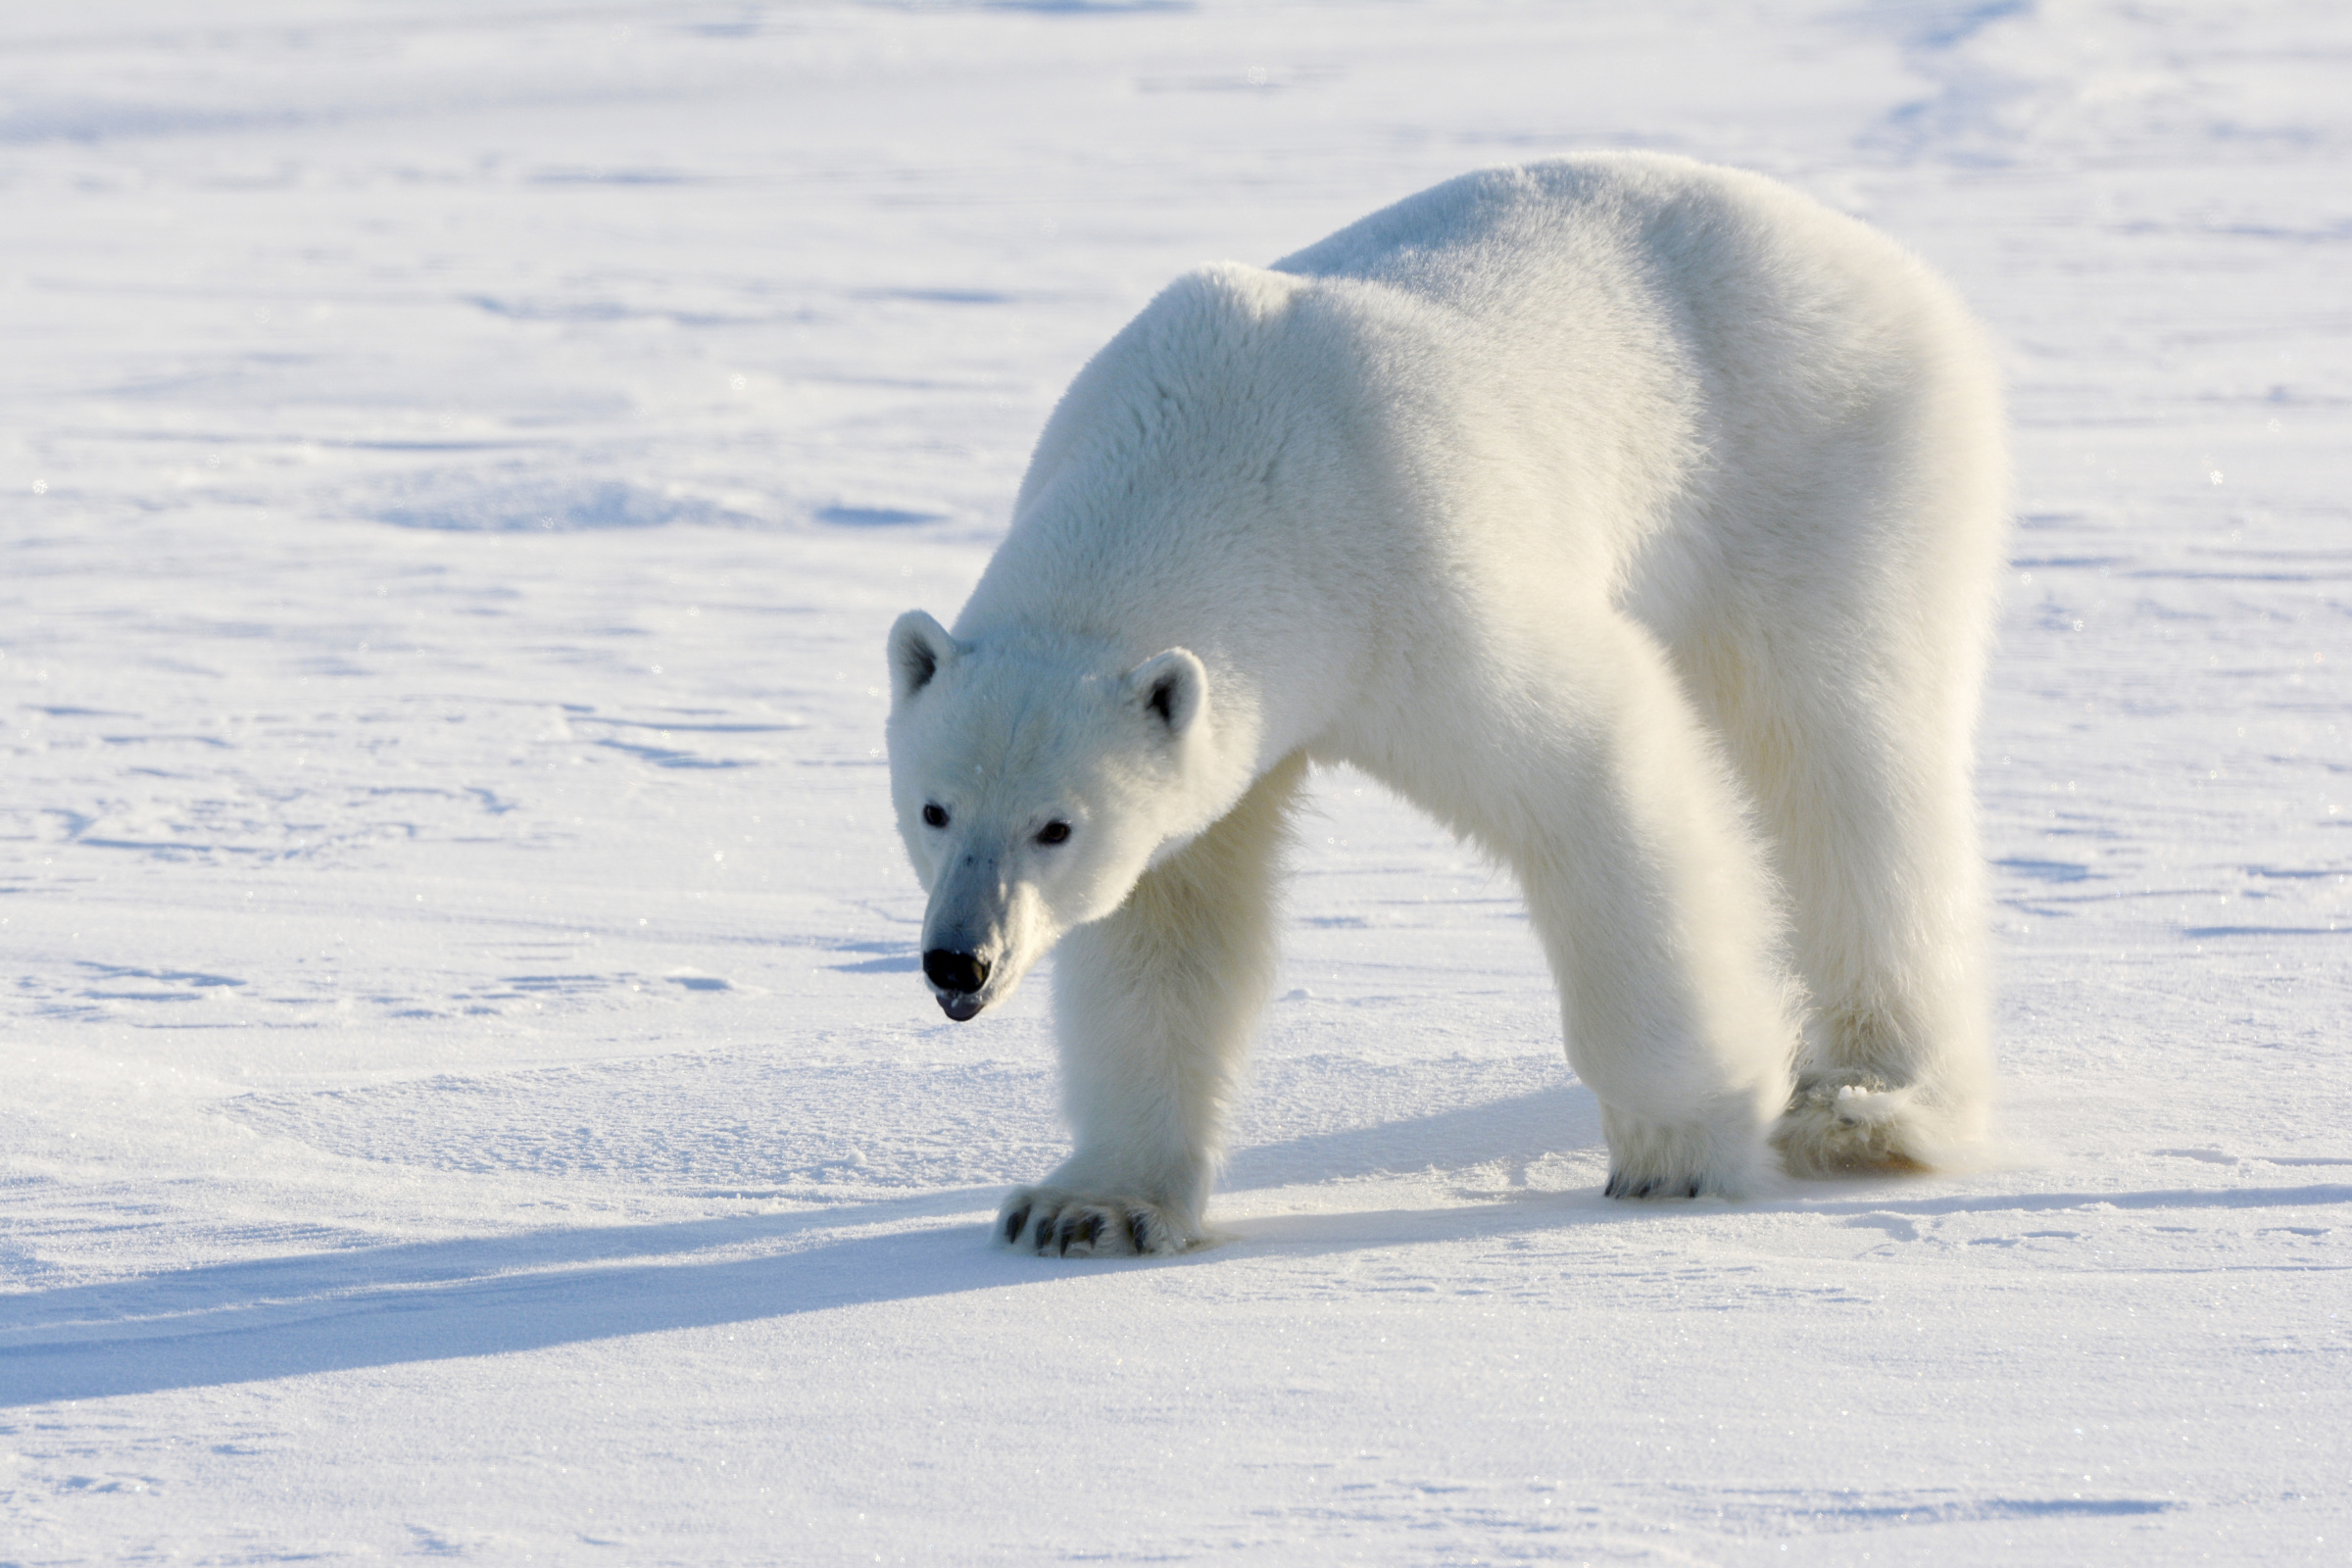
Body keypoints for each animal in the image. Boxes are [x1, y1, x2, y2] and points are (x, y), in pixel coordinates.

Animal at [884, 152, 2003, 1259]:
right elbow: (1171, 919)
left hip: (1819, 460)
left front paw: (1681, 1147)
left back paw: (1867, 1103)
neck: (1220, 450)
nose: (959, 962)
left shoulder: (1414, 569)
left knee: (1839, 756)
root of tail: (1869, 253)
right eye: (934, 809)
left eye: (1056, 827)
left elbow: (1598, 776)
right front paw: (1089, 1207)